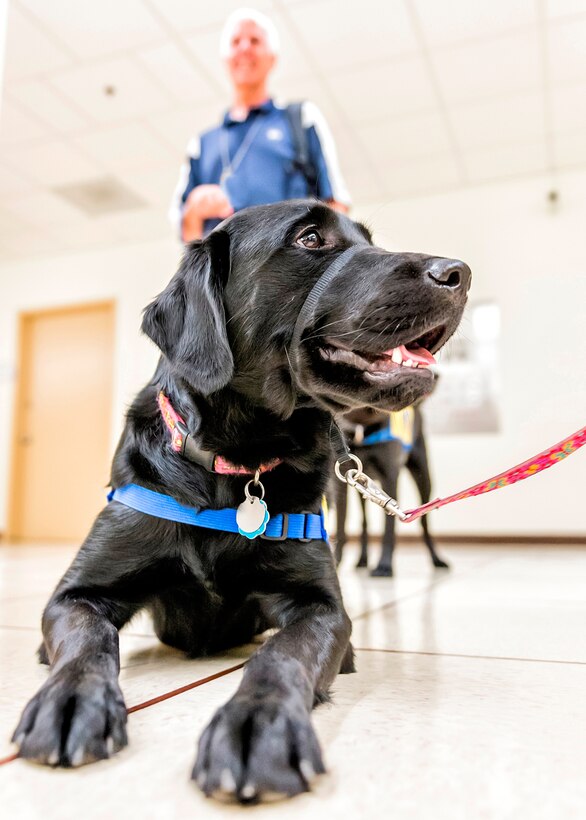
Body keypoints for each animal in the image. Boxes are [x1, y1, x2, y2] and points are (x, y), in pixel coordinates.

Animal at [334, 404, 448, 576]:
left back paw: (437, 559)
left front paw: (384, 565)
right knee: (364, 521)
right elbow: (341, 524)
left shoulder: (390, 477)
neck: (362, 423)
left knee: (424, 522)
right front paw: (336, 561)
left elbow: (388, 527)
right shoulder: (342, 482)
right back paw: (362, 559)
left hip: (424, 478)